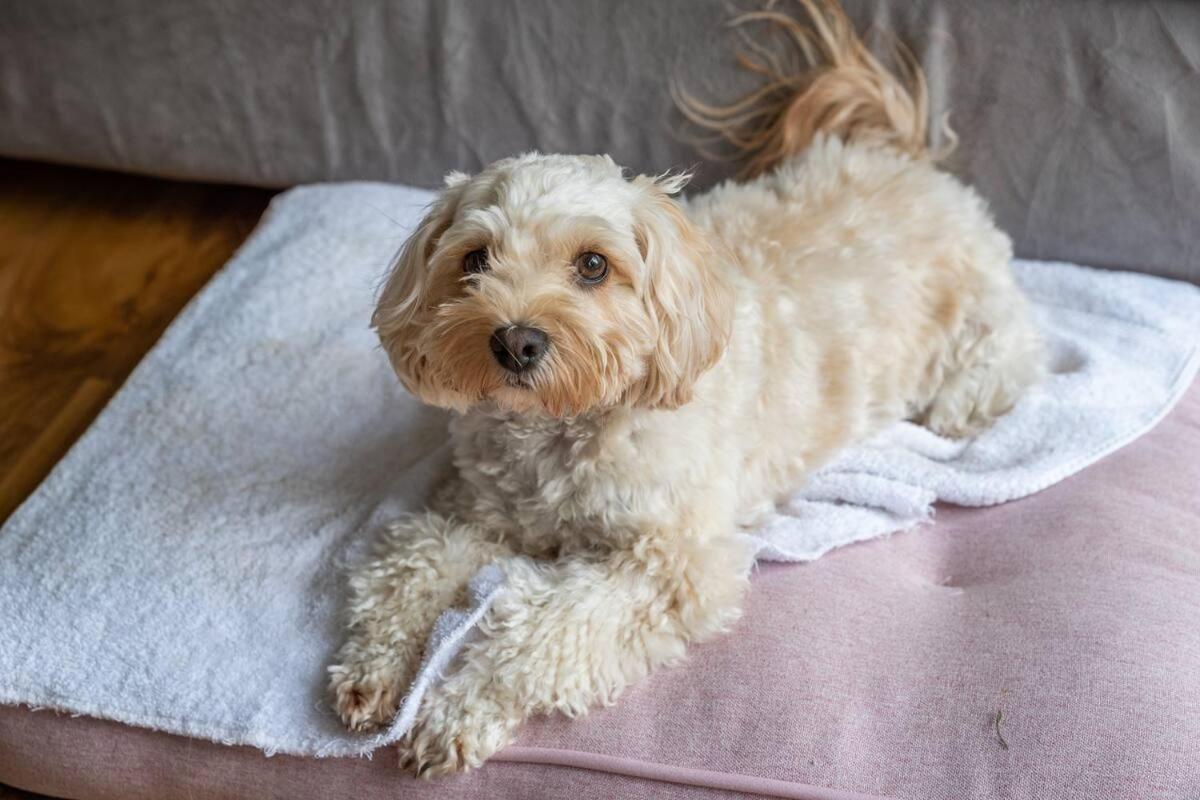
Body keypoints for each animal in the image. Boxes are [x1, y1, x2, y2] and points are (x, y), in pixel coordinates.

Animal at [326, 0, 1041, 777]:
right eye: (475, 260)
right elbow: (414, 559)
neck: (563, 426)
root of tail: (905, 160)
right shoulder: (475, 510)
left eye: (593, 265)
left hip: (979, 324)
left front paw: (458, 710)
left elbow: (545, 625)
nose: (515, 341)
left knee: (1005, 360)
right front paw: (372, 670)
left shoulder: (673, 566)